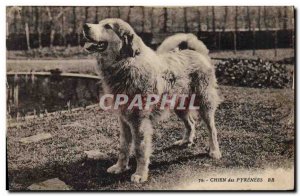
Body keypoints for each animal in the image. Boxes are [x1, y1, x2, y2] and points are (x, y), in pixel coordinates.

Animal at [83, 18, 221, 182]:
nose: (85, 26)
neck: (127, 63)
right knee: (191, 123)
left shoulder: (139, 121)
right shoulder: (124, 120)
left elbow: (140, 149)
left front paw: (140, 174)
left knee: (212, 129)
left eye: (107, 26)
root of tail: (196, 53)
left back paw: (214, 151)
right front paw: (120, 167)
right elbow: (124, 147)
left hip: (204, 103)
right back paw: (186, 141)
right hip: (178, 105)